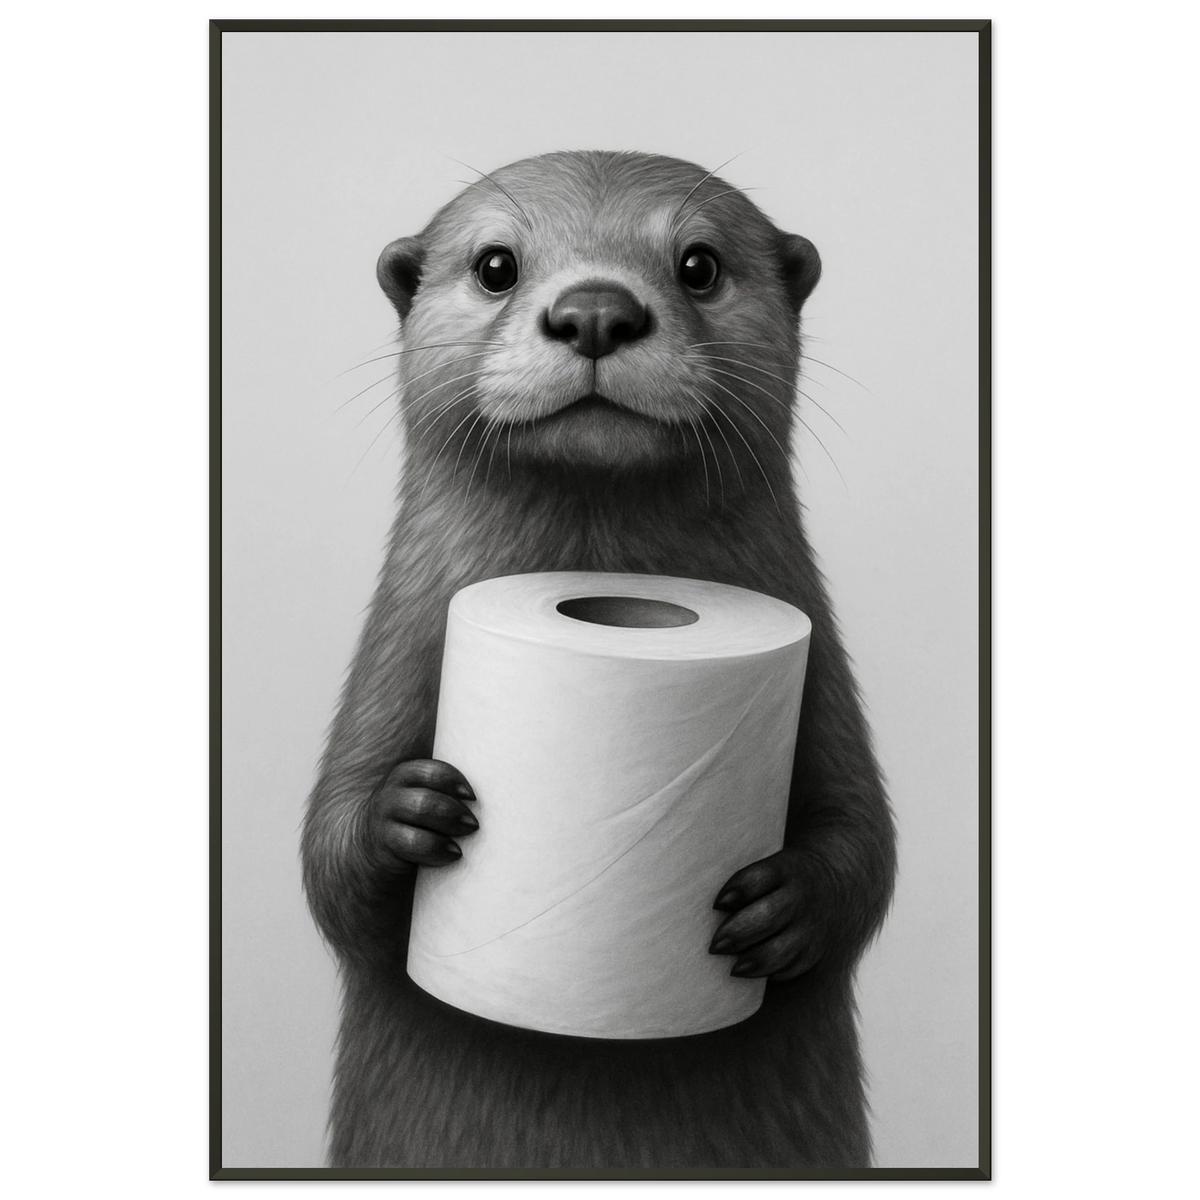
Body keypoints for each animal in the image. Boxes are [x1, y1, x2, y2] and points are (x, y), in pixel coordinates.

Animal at [302, 150, 896, 1169]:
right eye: (495, 264)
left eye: (699, 264)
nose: (593, 311)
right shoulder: (388, 663)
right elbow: (327, 860)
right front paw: (407, 812)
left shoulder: (825, 680)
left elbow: (869, 846)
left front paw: (785, 901)